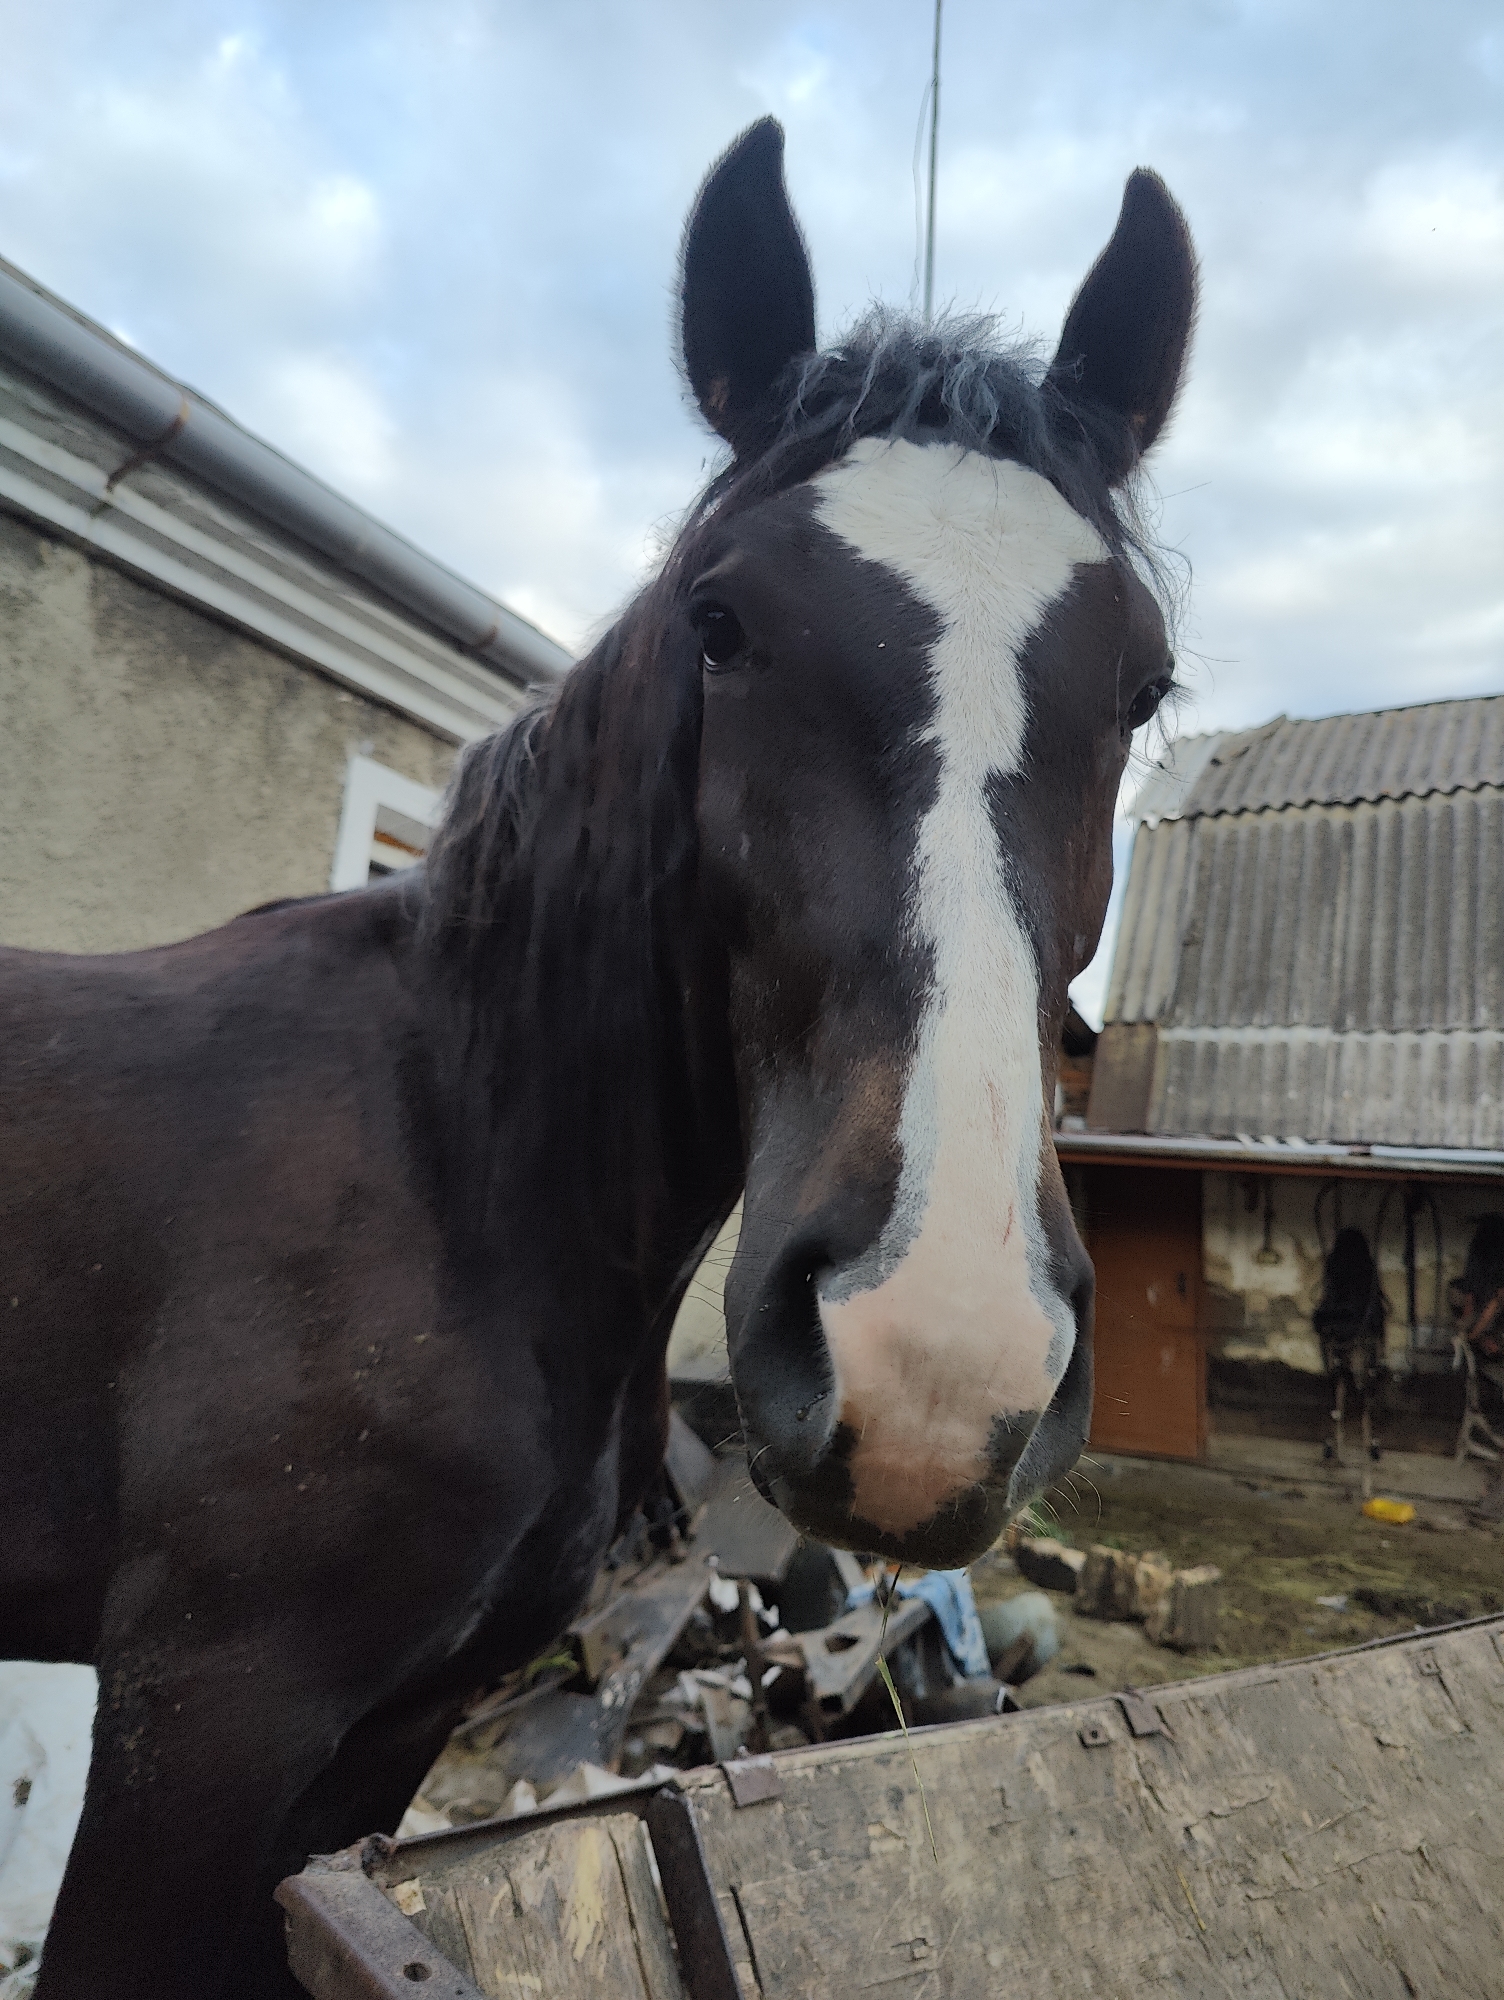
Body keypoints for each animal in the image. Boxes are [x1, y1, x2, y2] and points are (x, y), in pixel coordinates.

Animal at [0, 118, 1195, 1997]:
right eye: (720, 623)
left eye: (1143, 685)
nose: (935, 1360)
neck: (454, 1166)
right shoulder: (196, 1731)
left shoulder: (373, 1748)